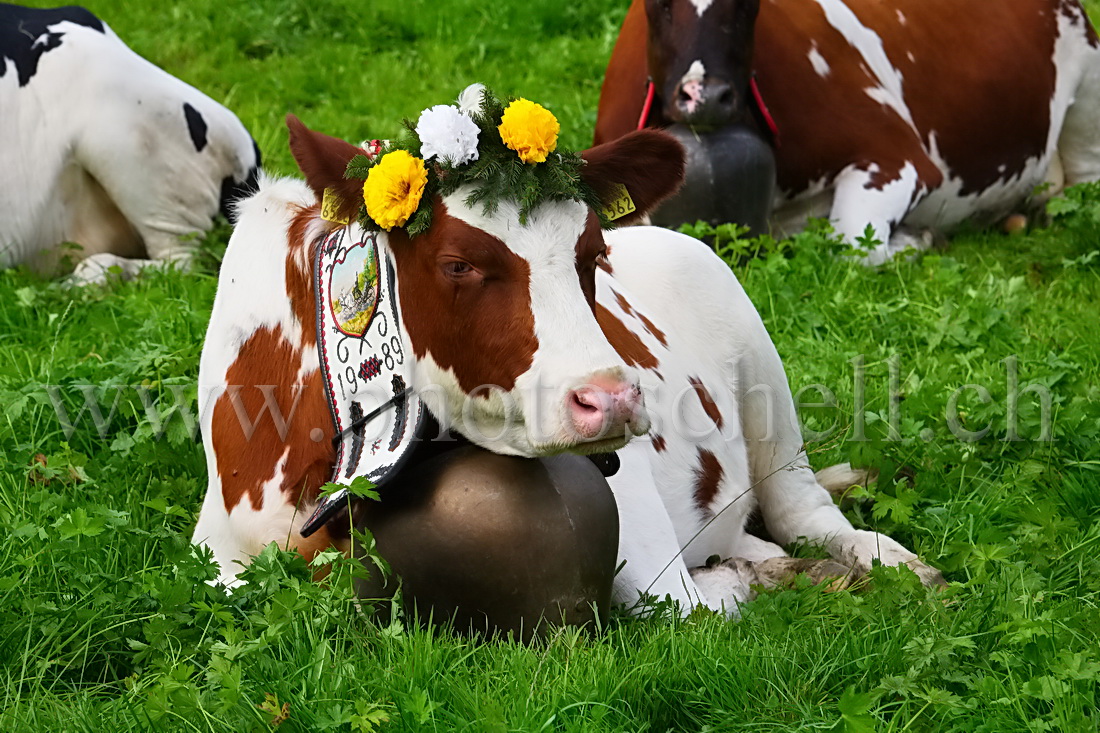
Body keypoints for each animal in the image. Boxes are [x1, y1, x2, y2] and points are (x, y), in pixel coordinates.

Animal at [193, 115, 941, 616]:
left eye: (591, 253)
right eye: (457, 264)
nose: (611, 400)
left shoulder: (645, 538)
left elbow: (685, 602)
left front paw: (790, 577)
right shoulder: (218, 559)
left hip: (765, 380)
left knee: (802, 510)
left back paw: (884, 560)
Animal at [598, 0, 1100, 263]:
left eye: (747, 4)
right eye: (658, 4)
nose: (706, 95)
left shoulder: (898, 157)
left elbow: (855, 240)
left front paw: (919, 238)